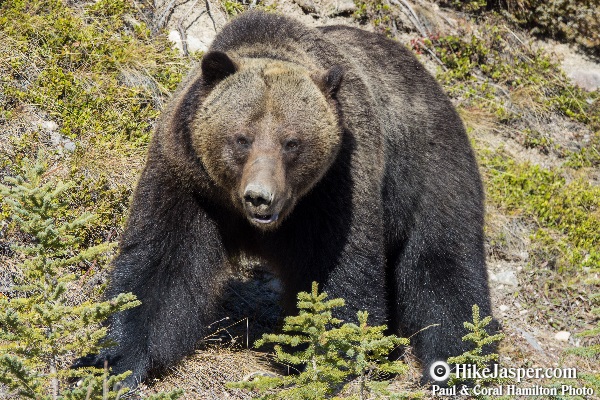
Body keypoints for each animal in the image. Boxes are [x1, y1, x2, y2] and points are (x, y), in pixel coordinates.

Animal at [83, 11, 496, 388]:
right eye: (242, 137)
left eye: (291, 142)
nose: (260, 197)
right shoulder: (188, 179)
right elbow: (161, 266)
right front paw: (112, 361)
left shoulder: (334, 189)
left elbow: (339, 276)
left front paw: (327, 361)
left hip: (429, 171)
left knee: (443, 264)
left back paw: (461, 358)